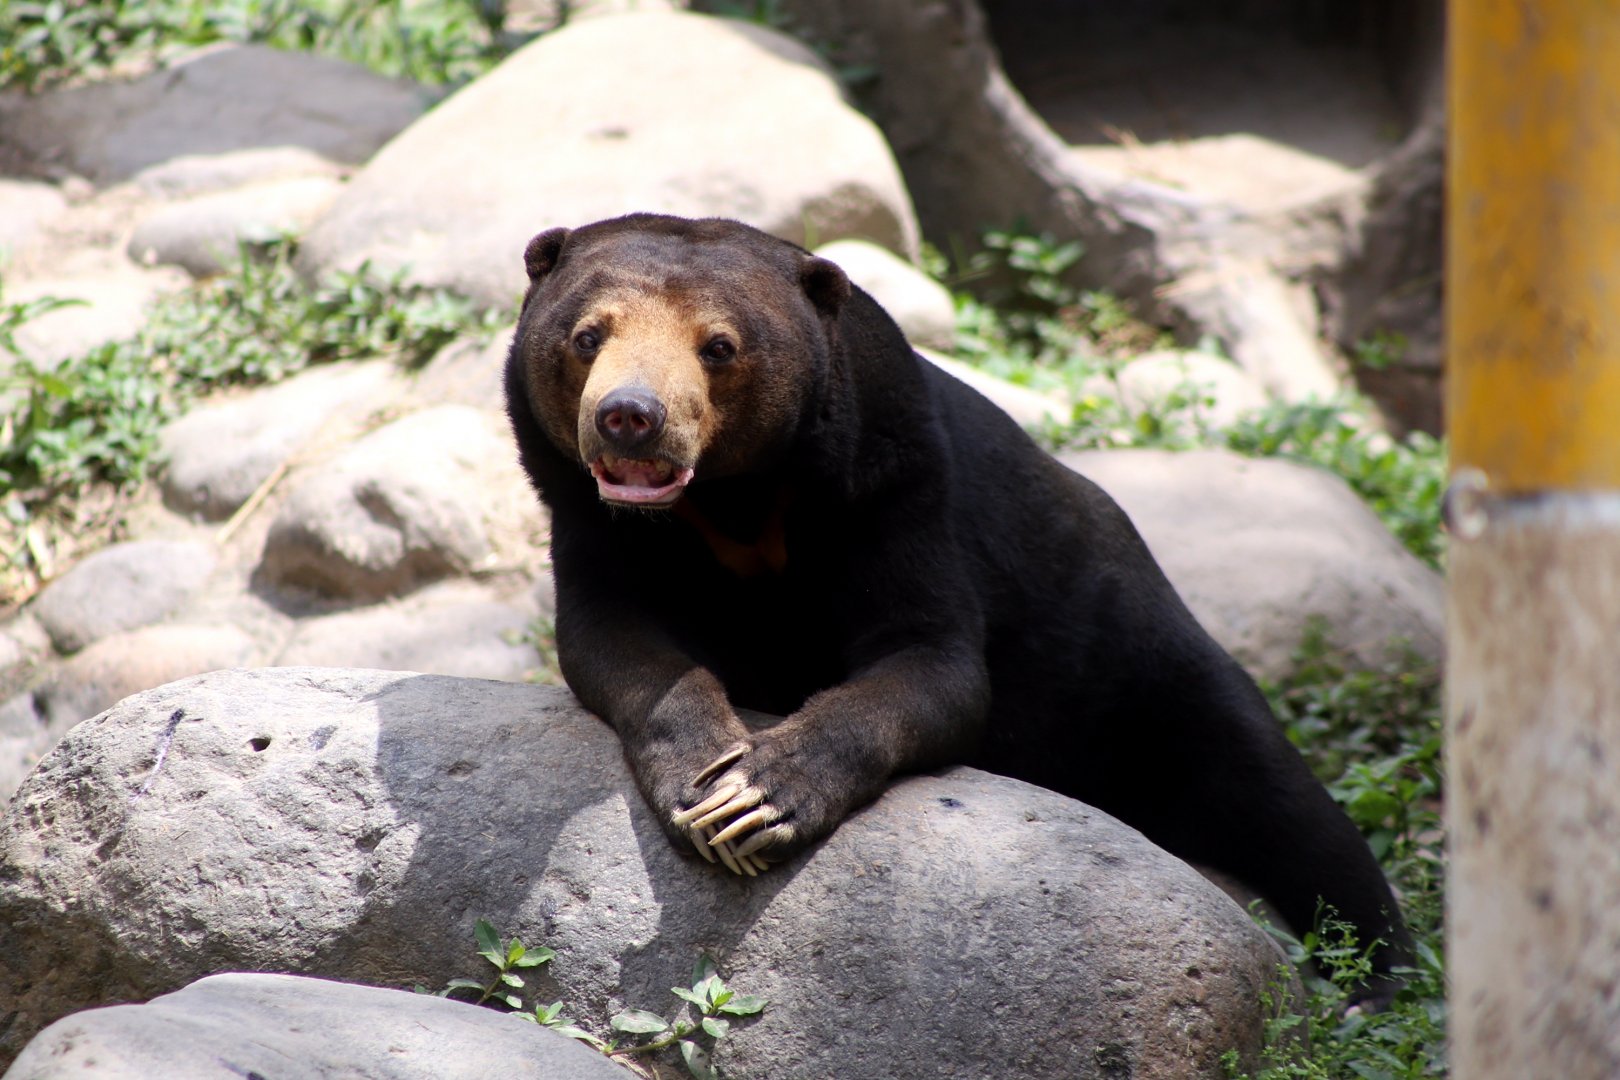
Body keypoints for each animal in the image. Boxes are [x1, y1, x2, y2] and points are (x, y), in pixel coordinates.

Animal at [504, 212, 1412, 1004]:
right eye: (587, 336)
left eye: (719, 347)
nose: (630, 418)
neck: (733, 504)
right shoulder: (580, 506)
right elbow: (614, 638)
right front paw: (705, 781)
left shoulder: (892, 480)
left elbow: (931, 659)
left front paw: (757, 796)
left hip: (1147, 667)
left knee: (1289, 809)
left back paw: (1378, 979)